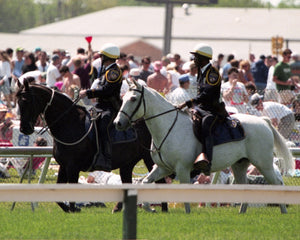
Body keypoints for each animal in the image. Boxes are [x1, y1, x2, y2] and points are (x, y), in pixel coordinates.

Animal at [113, 81, 294, 214]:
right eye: (123, 98)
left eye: (133, 99)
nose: (118, 123)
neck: (169, 127)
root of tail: (263, 121)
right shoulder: (163, 168)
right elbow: (145, 182)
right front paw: (148, 208)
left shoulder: (183, 170)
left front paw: (186, 214)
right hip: (240, 165)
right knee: (246, 187)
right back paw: (241, 213)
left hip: (264, 164)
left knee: (277, 183)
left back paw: (283, 212)